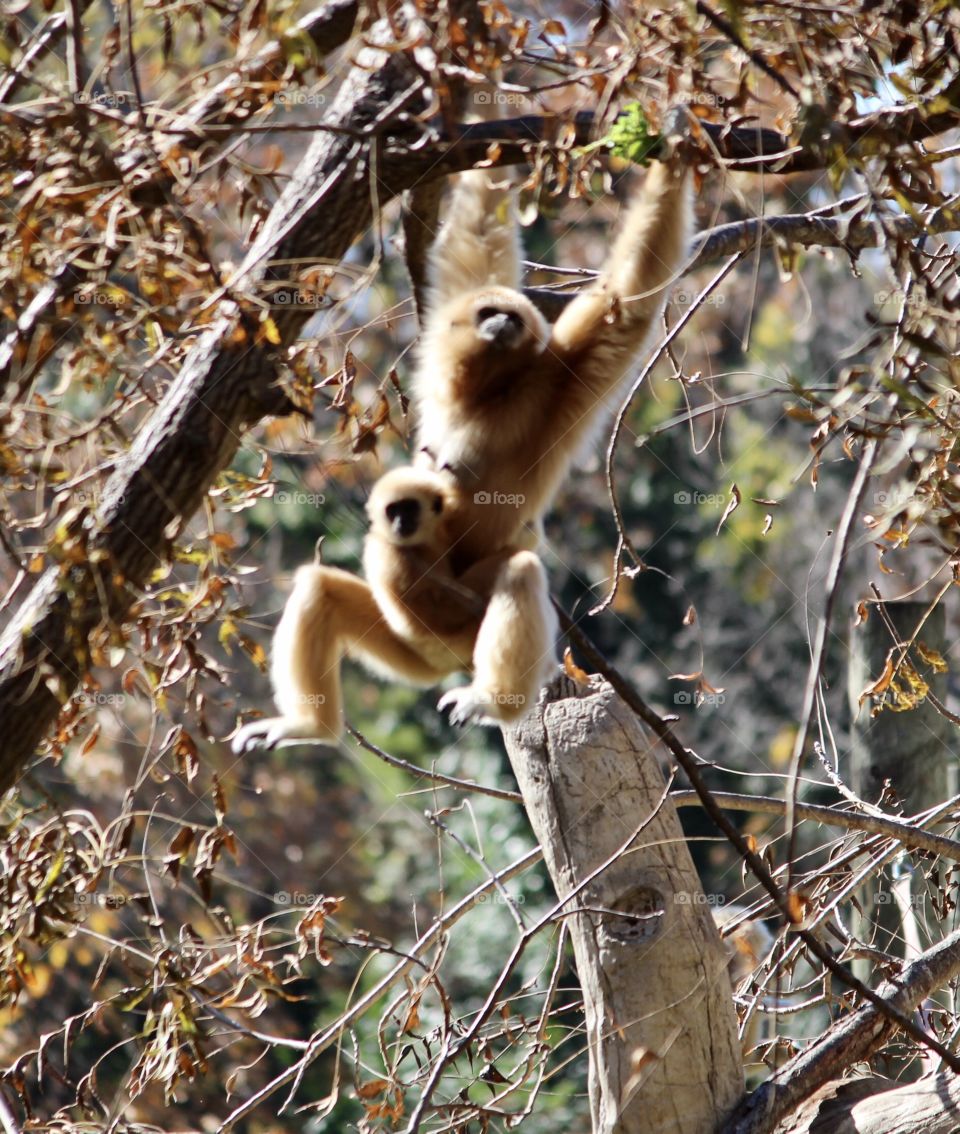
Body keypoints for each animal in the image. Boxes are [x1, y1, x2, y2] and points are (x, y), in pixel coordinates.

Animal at [232, 466, 557, 751]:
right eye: (393, 510)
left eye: (410, 508)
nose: (401, 523)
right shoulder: (388, 555)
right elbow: (440, 611)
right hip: (431, 657)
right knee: (521, 570)